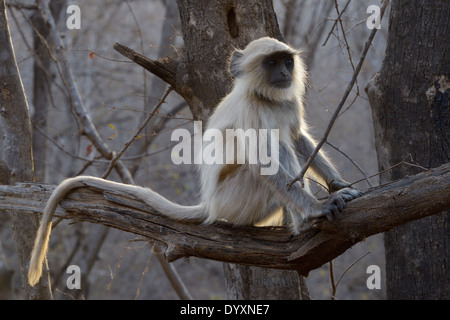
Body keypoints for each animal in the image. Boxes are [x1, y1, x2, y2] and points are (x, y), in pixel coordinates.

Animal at [28, 37, 362, 284]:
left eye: (286, 61)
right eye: (271, 62)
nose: (284, 73)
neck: (264, 97)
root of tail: (211, 204)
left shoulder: (287, 102)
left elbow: (298, 137)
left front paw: (339, 185)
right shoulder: (251, 109)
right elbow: (265, 160)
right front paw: (317, 208)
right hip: (236, 200)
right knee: (276, 151)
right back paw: (304, 223)